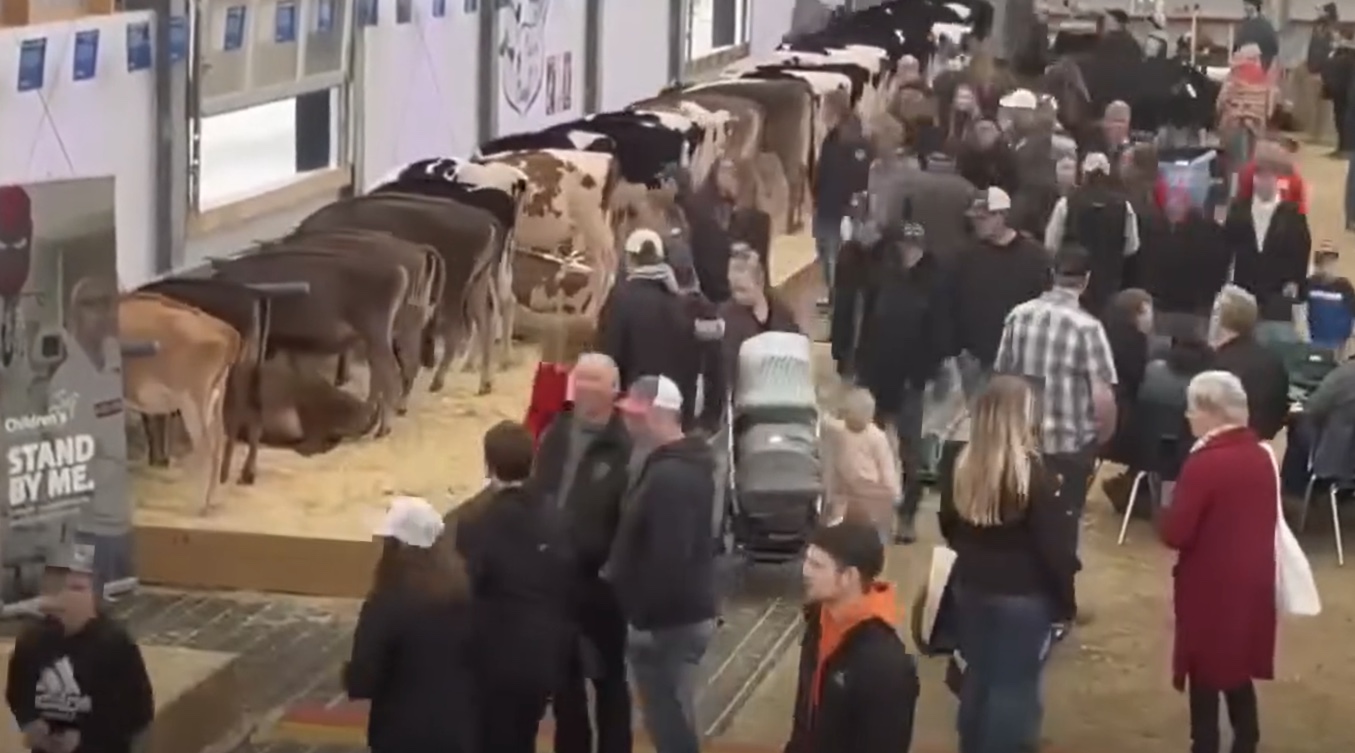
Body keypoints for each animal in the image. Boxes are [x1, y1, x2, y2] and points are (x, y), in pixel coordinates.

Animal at [120, 291, 242, 514]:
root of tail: (225, 331)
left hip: (193, 401)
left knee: (204, 448)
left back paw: (200, 504)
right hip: (215, 399)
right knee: (219, 442)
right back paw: (214, 500)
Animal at [203, 246, 409, 436]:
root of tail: (397, 270)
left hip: (376, 334)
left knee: (391, 374)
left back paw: (381, 428)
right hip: (371, 340)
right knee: (378, 377)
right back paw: (368, 424)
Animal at [296, 190, 509, 395]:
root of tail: (486, 220)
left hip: (456, 291)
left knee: (457, 331)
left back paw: (437, 382)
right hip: (478, 282)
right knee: (487, 320)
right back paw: (484, 384)